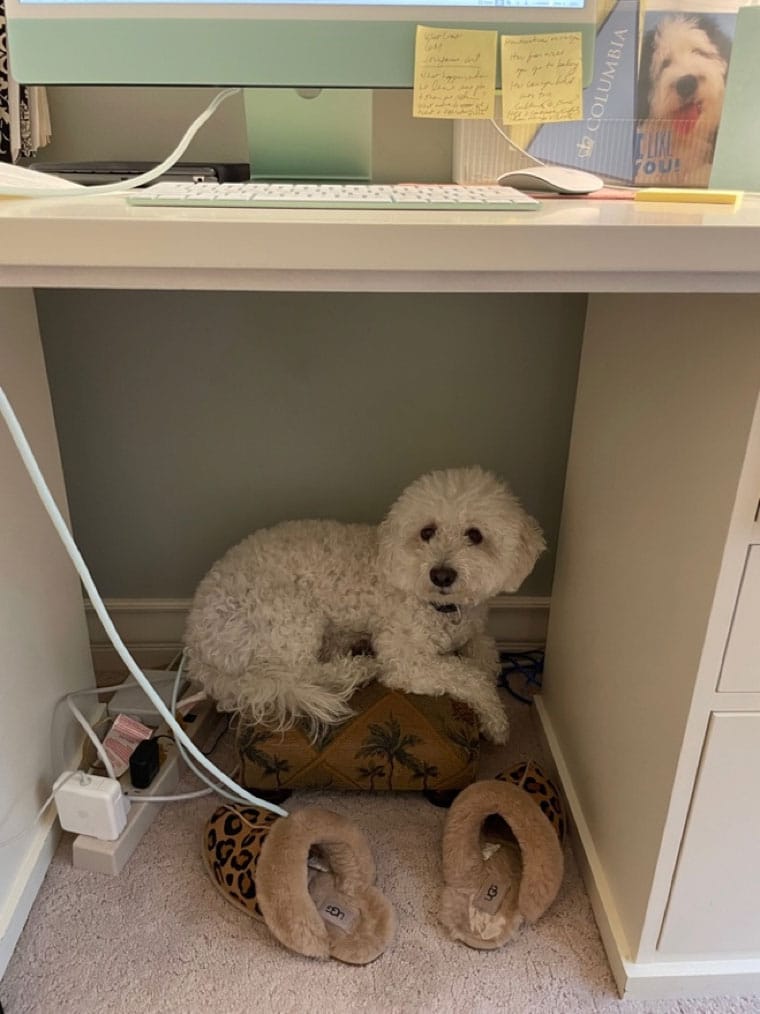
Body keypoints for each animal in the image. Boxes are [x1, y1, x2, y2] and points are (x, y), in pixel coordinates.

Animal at [182, 466, 543, 746]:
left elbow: (488, 660)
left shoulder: (476, 633)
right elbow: (471, 676)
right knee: (299, 674)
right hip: (290, 613)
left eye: (475, 535)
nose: (441, 574)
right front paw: (496, 721)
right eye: (427, 532)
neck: (442, 607)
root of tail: (197, 647)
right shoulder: (406, 660)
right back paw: (358, 668)